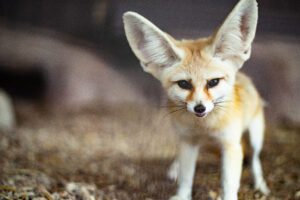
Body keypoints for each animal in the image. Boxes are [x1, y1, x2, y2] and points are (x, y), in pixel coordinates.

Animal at [123, 0, 268, 200]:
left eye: (213, 82)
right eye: (184, 84)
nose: (200, 108)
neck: (205, 127)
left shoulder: (230, 145)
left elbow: (229, 183)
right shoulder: (188, 141)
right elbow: (186, 177)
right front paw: (182, 194)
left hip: (255, 137)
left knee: (255, 160)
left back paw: (260, 184)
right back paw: (174, 168)